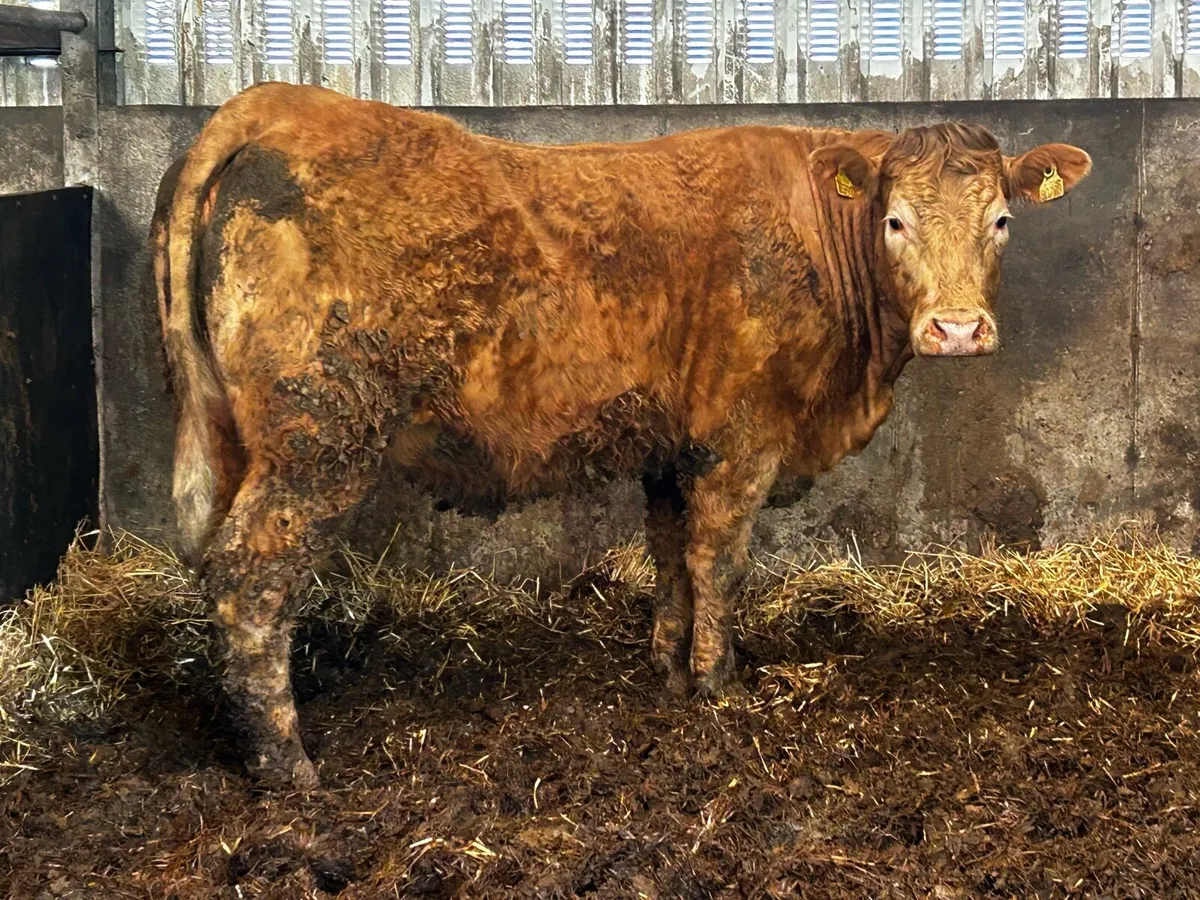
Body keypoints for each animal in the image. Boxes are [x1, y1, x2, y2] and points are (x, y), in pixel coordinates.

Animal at [151, 82, 1091, 787]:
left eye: (1000, 220)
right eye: (896, 220)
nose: (958, 329)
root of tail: (279, 102)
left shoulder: (672, 445)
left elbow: (670, 556)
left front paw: (669, 669)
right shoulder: (742, 437)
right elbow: (719, 560)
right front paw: (718, 682)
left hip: (241, 439)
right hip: (317, 436)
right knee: (251, 578)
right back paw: (287, 765)